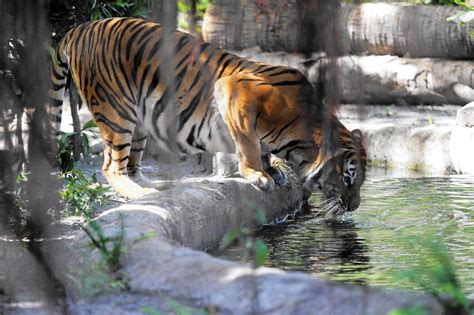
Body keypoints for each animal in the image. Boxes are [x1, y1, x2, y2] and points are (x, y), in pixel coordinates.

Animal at [49, 18, 366, 214]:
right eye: (348, 178)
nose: (354, 207)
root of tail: (79, 28)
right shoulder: (234, 90)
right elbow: (249, 144)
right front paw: (257, 175)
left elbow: (261, 148)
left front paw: (272, 171)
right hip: (117, 111)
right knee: (111, 167)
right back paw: (142, 195)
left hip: (139, 119)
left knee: (132, 165)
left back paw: (154, 187)